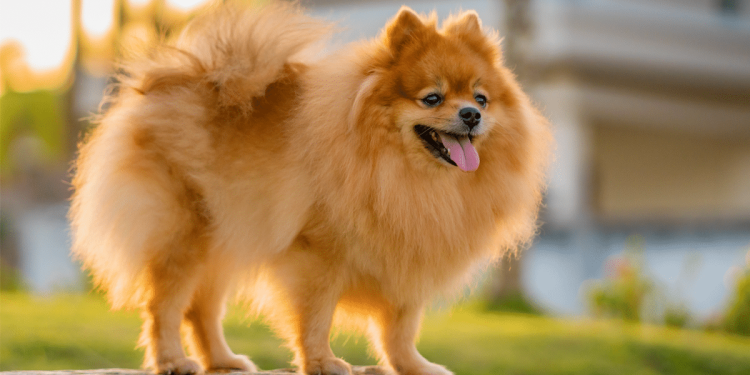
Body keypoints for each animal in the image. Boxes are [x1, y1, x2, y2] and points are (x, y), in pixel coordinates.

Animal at [69, 1, 552, 374]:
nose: (471, 114)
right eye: (431, 98)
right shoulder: (317, 255)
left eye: (481, 97)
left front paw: (414, 366)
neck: (407, 177)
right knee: (164, 307)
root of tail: (180, 77)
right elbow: (316, 318)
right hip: (184, 234)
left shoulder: (405, 254)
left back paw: (222, 360)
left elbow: (399, 326)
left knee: (200, 308)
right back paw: (173, 360)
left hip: (227, 236)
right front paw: (323, 362)